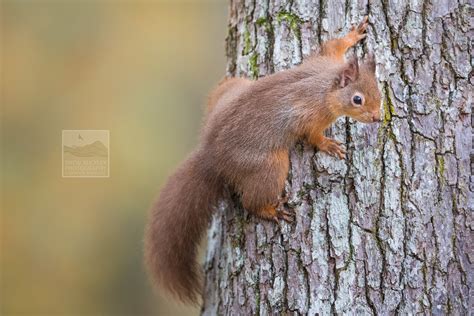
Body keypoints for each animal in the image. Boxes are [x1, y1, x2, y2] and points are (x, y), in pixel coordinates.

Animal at [143, 16, 382, 304]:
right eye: (357, 99)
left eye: (379, 91)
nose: (378, 118)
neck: (326, 86)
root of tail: (211, 154)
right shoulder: (308, 115)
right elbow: (311, 136)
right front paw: (329, 145)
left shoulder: (323, 60)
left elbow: (331, 45)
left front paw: (353, 35)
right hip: (271, 165)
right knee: (251, 202)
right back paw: (271, 210)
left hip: (234, 88)